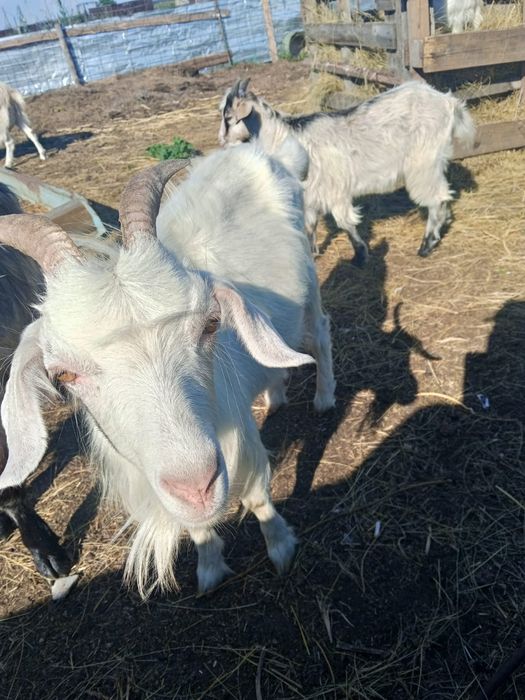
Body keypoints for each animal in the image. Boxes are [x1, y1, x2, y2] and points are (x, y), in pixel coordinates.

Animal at [0, 143, 336, 597]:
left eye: (210, 324)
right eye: (64, 373)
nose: (196, 488)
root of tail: (259, 151)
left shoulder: (240, 441)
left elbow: (257, 499)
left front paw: (281, 549)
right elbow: (198, 530)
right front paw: (209, 570)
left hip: (310, 279)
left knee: (320, 331)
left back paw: (325, 397)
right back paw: (274, 395)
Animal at [219, 79, 476, 264]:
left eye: (229, 118)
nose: (221, 141)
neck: (284, 137)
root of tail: (448, 101)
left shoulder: (334, 188)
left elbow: (345, 222)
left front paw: (360, 255)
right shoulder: (310, 194)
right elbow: (310, 226)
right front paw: (312, 254)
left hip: (422, 162)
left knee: (436, 199)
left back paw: (426, 245)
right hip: (433, 161)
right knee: (443, 195)